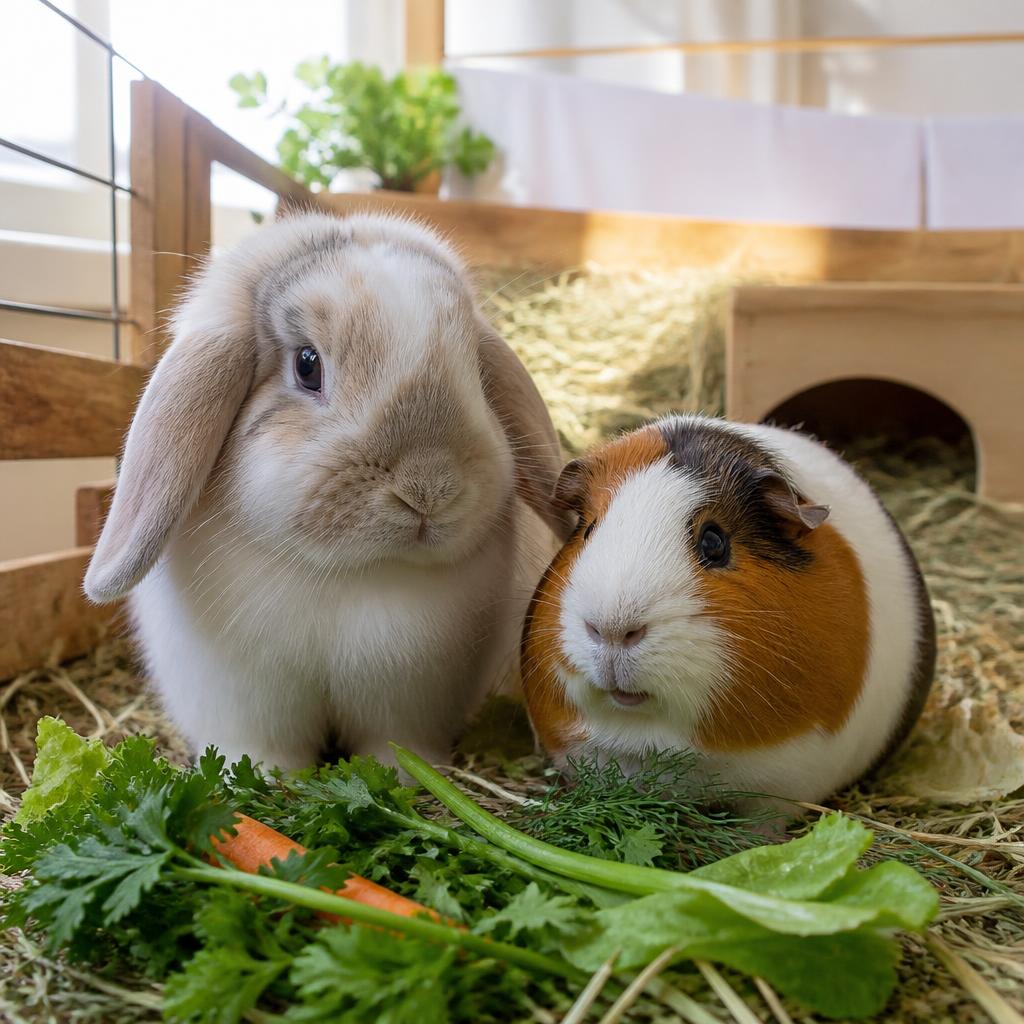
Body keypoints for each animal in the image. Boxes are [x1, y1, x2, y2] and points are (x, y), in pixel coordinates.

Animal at [85, 212, 570, 771]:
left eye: (477, 371)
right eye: (307, 364)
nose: (428, 489)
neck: (348, 576)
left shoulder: (410, 700)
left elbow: (396, 743)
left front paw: (407, 773)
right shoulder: (244, 698)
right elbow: (263, 748)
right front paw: (268, 775)